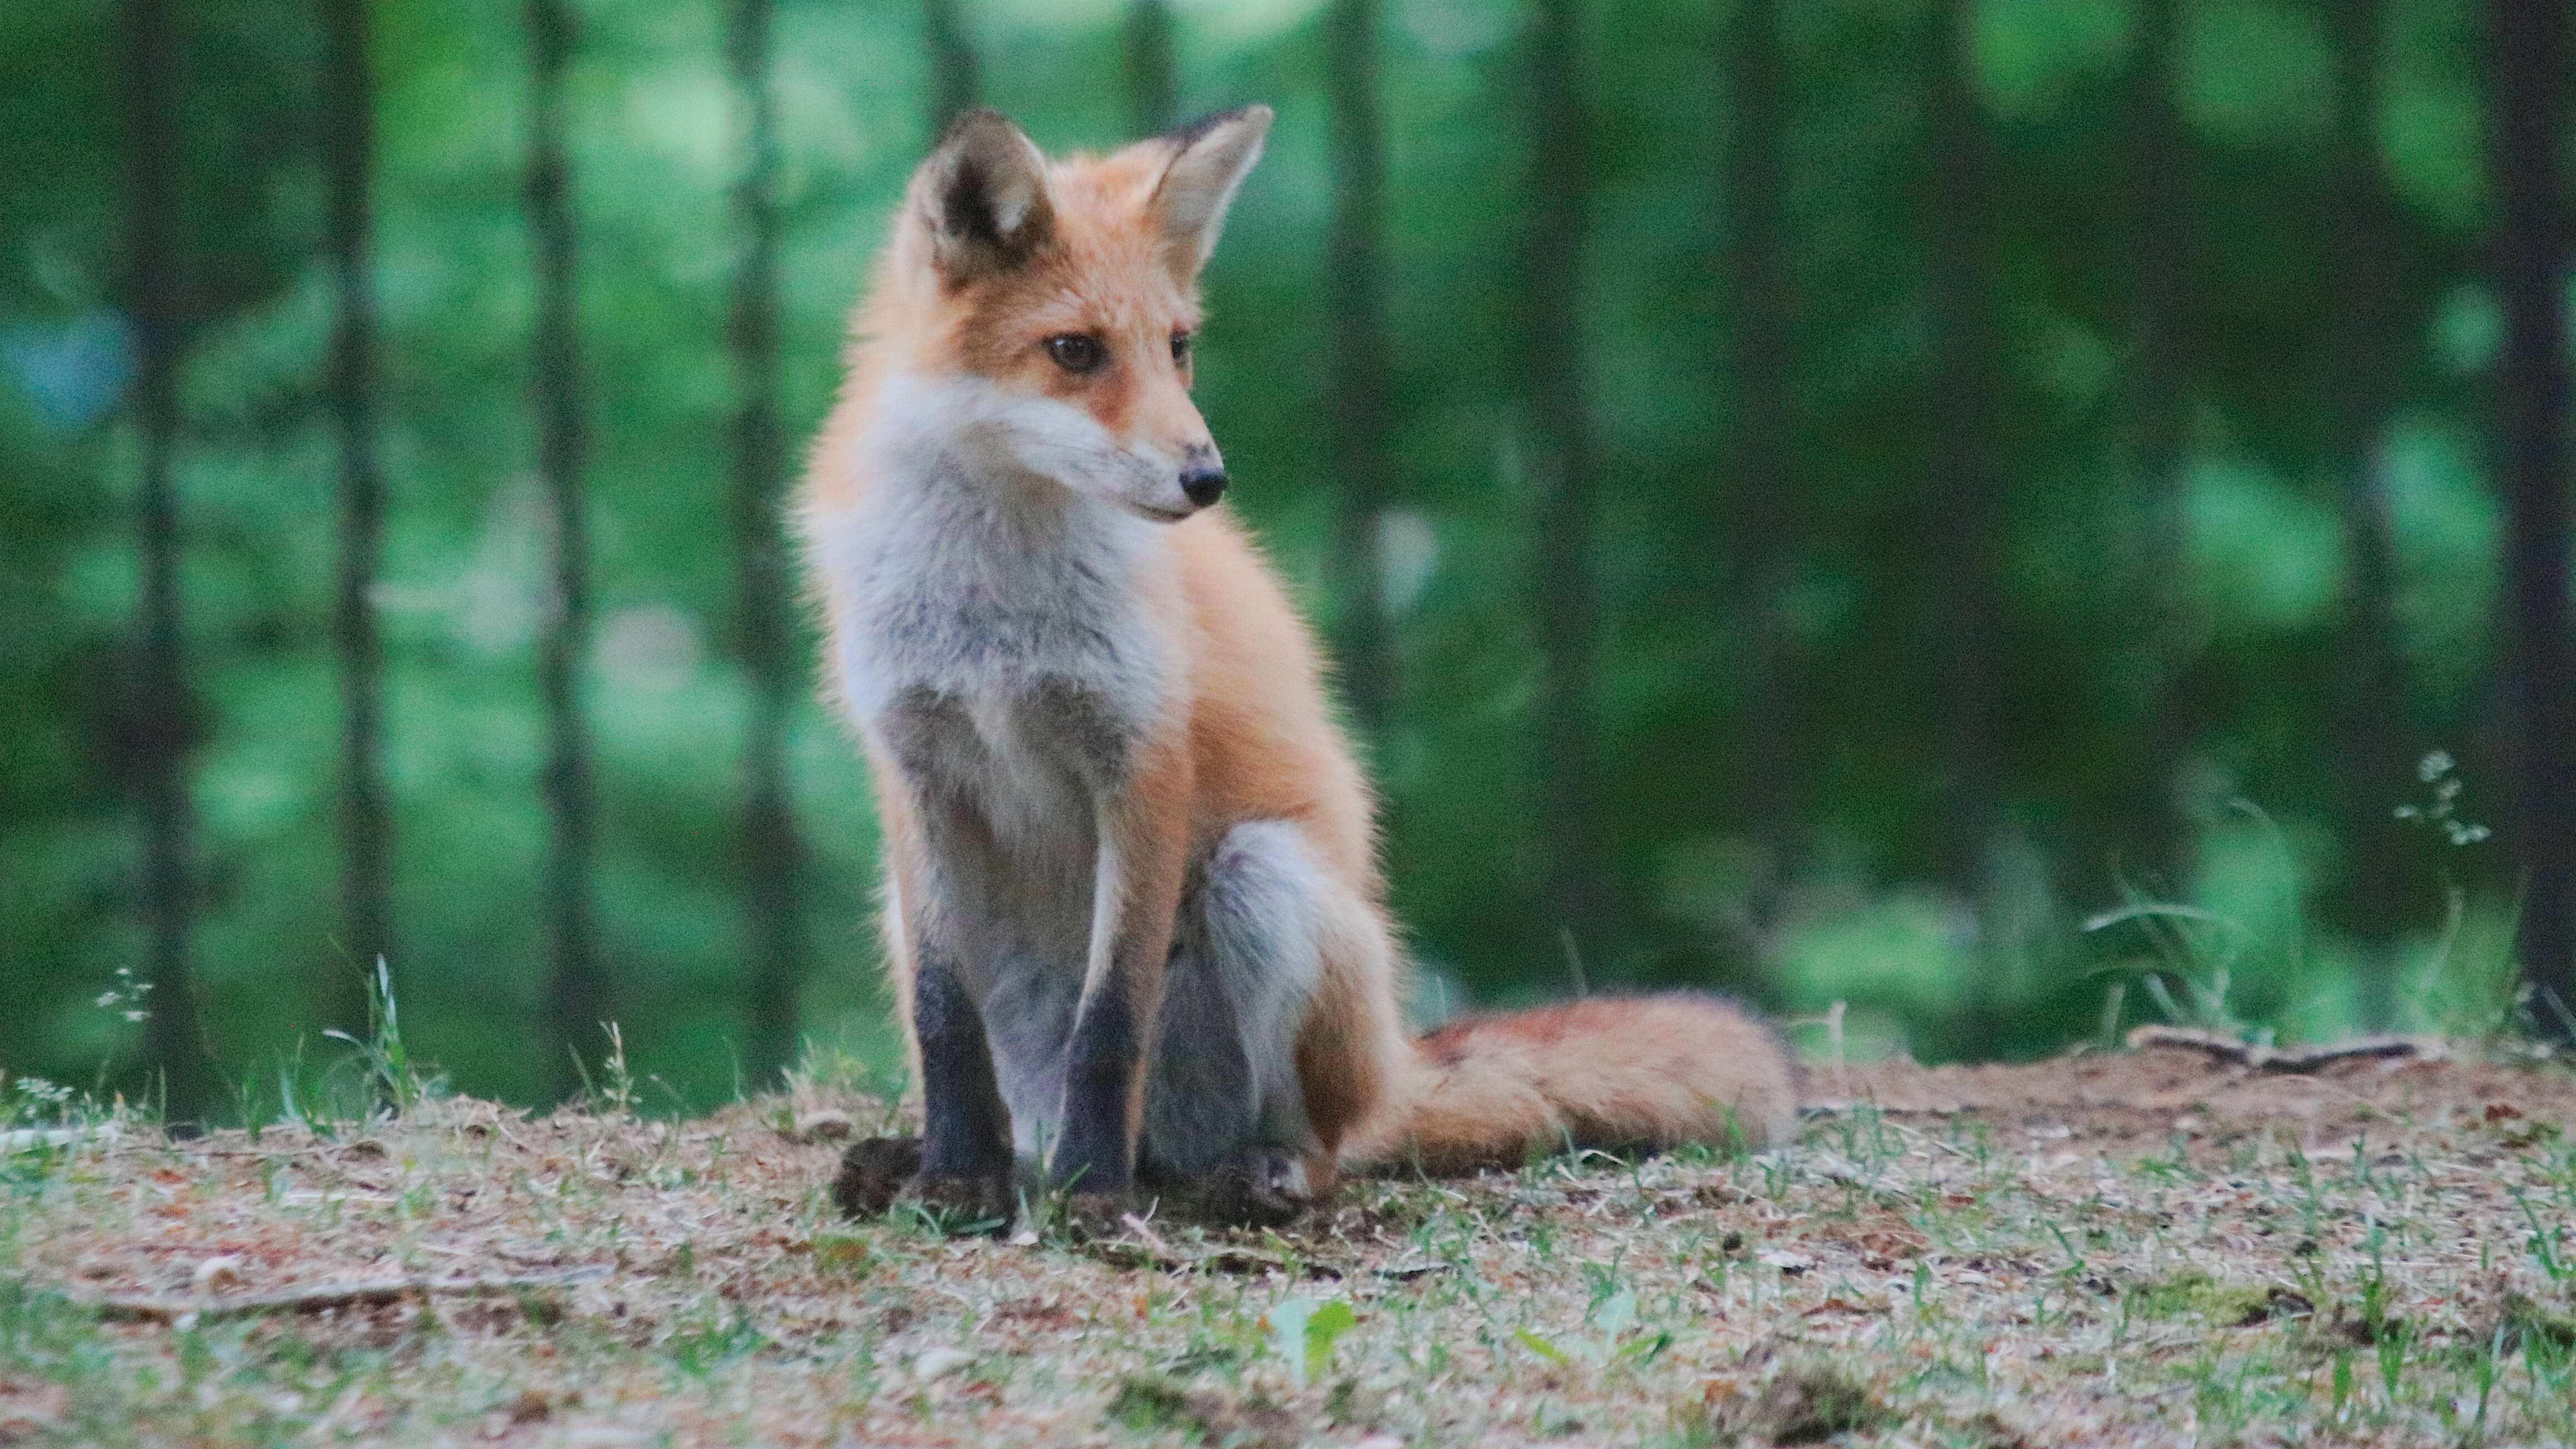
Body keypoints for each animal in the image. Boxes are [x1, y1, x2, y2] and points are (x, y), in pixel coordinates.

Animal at [798, 107, 1793, 1222]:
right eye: (1074, 351)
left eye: (1177, 347)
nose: (1207, 478)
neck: (995, 606)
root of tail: (1395, 1067)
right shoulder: (913, 766)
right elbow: (944, 1023)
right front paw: (954, 1177)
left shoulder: (1141, 754)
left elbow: (1112, 1021)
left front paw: (1093, 1198)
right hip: (912, 914)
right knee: (1031, 1098)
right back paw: (989, 1163)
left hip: (1264, 880)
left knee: (1319, 1144)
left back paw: (1223, 1173)